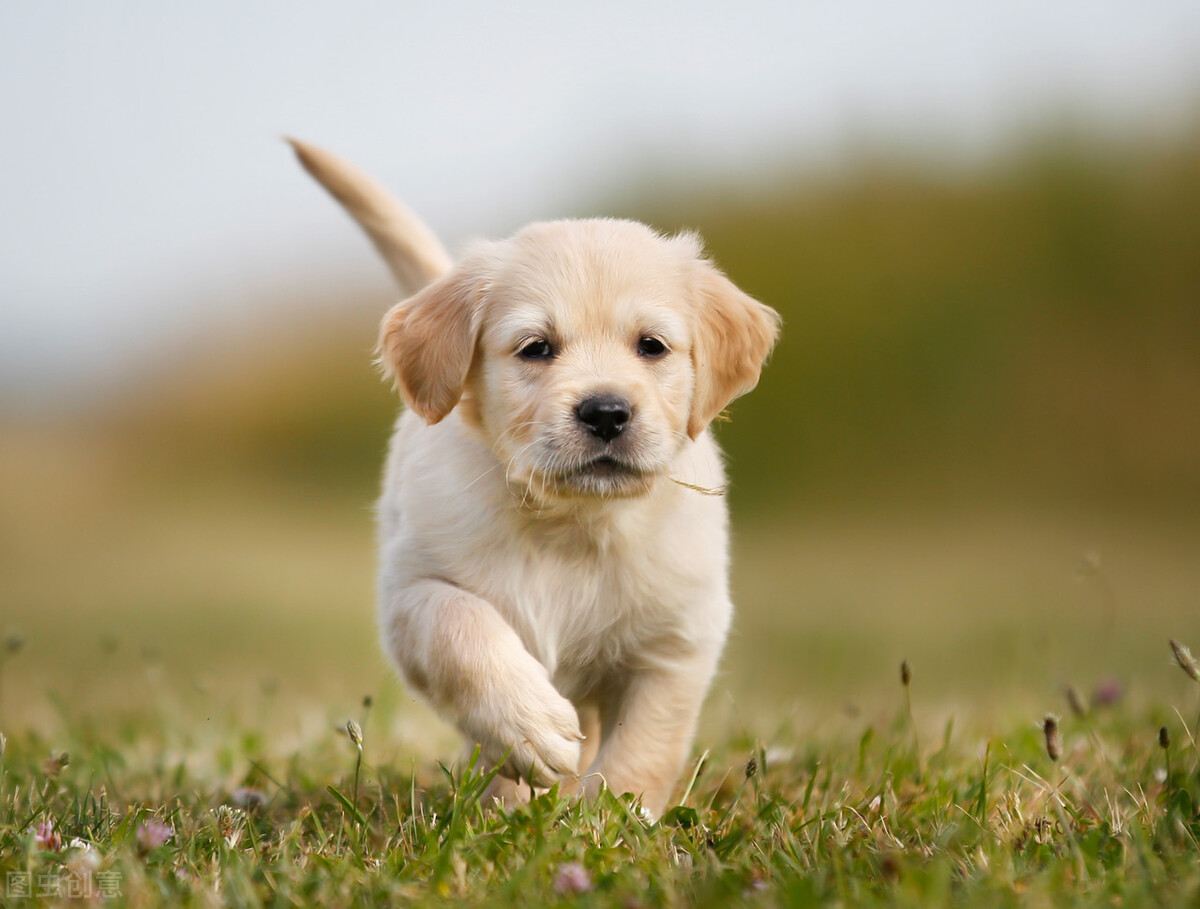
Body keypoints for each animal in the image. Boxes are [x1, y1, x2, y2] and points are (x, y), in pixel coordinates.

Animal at [289, 140, 777, 820]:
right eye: (536, 348)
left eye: (652, 346)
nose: (606, 412)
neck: (571, 522)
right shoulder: (411, 593)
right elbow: (462, 628)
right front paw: (530, 733)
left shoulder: (679, 638)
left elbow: (646, 744)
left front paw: (609, 820)